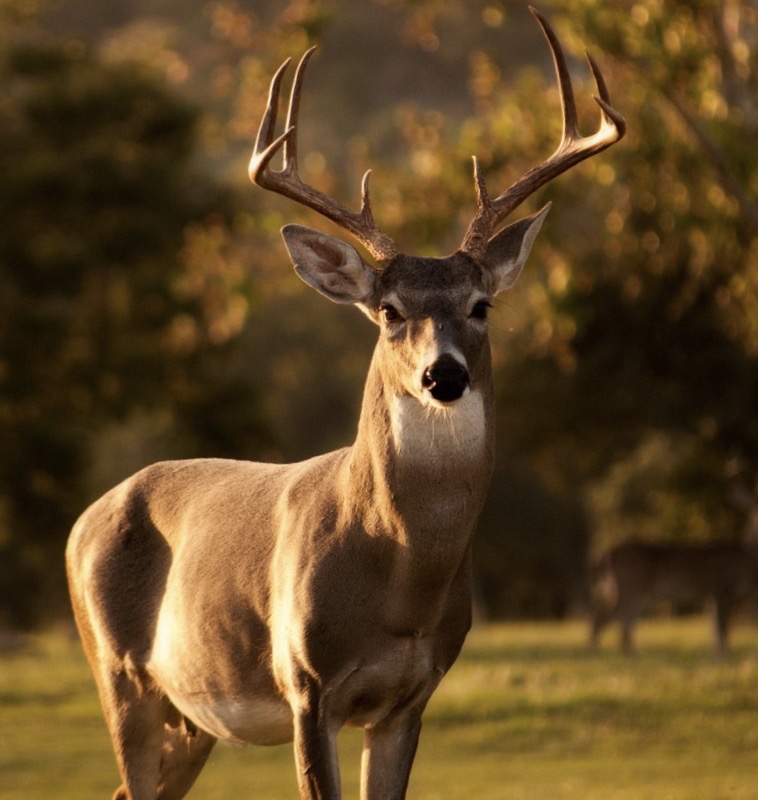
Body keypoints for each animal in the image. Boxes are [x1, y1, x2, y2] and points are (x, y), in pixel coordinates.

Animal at [63, 7, 624, 800]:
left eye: (481, 305)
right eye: (389, 311)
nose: (443, 375)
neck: (398, 577)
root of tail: (84, 519)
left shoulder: (411, 698)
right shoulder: (306, 685)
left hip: (192, 716)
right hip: (118, 675)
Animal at [592, 488, 758, 656]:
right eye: (752, 509)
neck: (744, 555)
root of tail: (605, 555)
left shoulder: (710, 594)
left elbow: (715, 629)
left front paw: (718, 656)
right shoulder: (720, 587)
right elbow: (722, 629)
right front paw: (724, 657)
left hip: (632, 592)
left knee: (625, 623)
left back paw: (632, 655)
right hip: (628, 588)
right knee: (604, 619)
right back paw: (596, 652)